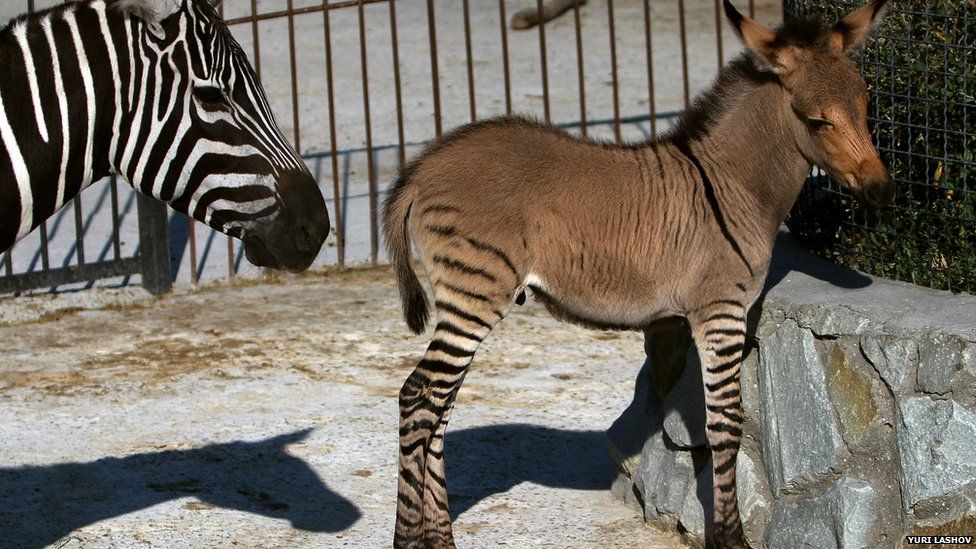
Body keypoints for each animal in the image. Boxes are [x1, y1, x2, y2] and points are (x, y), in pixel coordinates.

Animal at [383, 1, 891, 547]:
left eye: (864, 104)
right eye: (817, 121)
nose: (882, 191)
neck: (733, 186)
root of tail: (423, 166)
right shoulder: (721, 312)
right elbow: (726, 426)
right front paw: (731, 537)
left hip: (466, 299)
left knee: (438, 408)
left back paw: (440, 538)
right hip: (475, 292)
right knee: (419, 398)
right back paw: (408, 537)